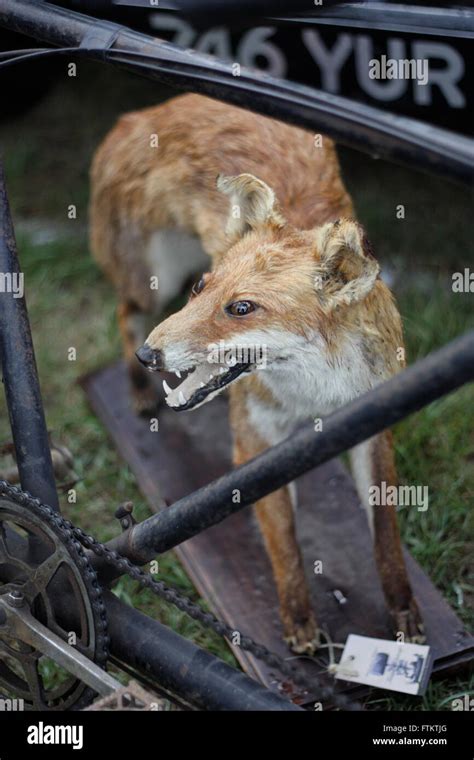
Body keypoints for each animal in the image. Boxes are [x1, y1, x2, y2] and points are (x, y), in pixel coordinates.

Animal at [90, 93, 424, 652]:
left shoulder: (370, 424)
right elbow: (284, 543)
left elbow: (386, 536)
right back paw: (137, 393)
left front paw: (403, 612)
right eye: (203, 288)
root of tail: (147, 111)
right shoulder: (256, 441)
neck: (315, 395)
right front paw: (298, 623)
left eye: (242, 308)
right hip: (154, 284)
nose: (149, 357)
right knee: (122, 312)